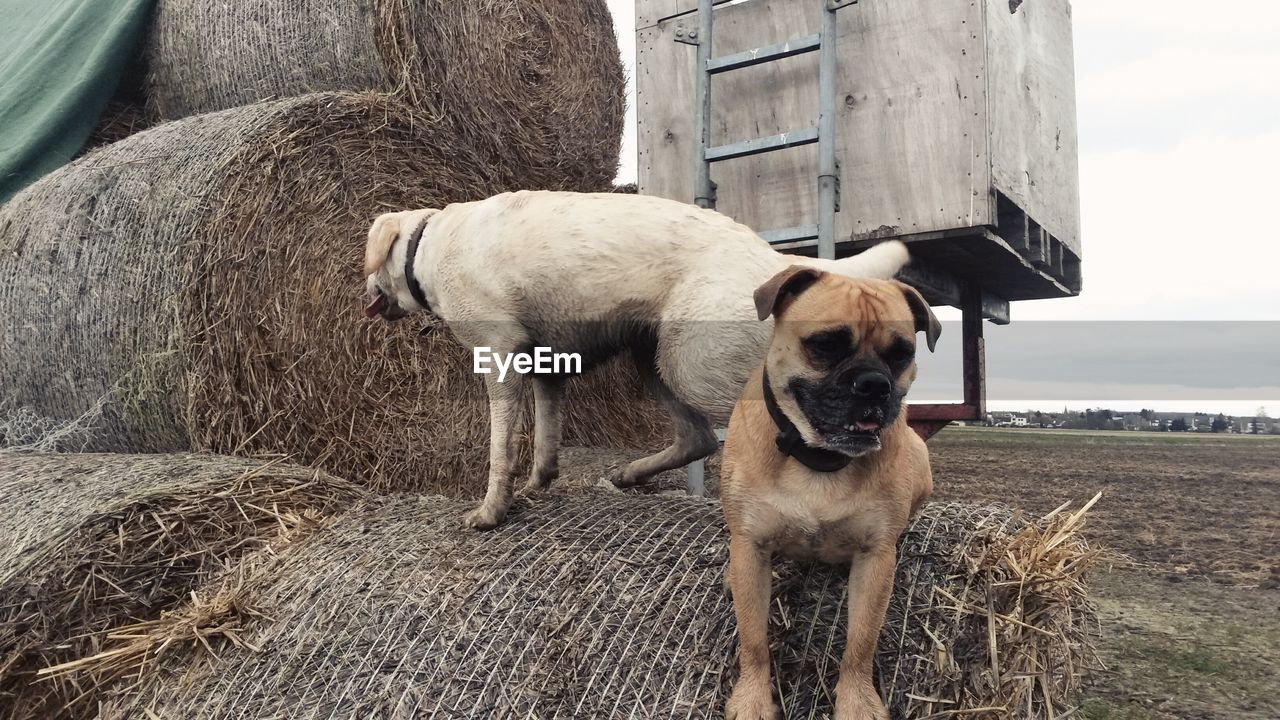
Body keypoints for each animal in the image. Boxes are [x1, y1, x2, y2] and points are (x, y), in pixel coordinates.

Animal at [366, 190, 916, 527]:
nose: (361, 295)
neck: (427, 245)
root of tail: (776, 260)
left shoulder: (498, 358)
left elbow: (502, 448)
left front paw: (491, 511)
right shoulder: (547, 367)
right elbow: (545, 443)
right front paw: (537, 486)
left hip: (692, 365)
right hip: (652, 359)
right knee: (697, 438)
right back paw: (629, 475)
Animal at [721, 266, 942, 712]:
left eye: (901, 353)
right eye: (825, 344)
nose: (874, 384)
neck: (818, 457)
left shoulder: (875, 559)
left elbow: (860, 642)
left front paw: (858, 702)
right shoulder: (750, 546)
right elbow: (753, 639)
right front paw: (752, 699)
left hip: (919, 454)